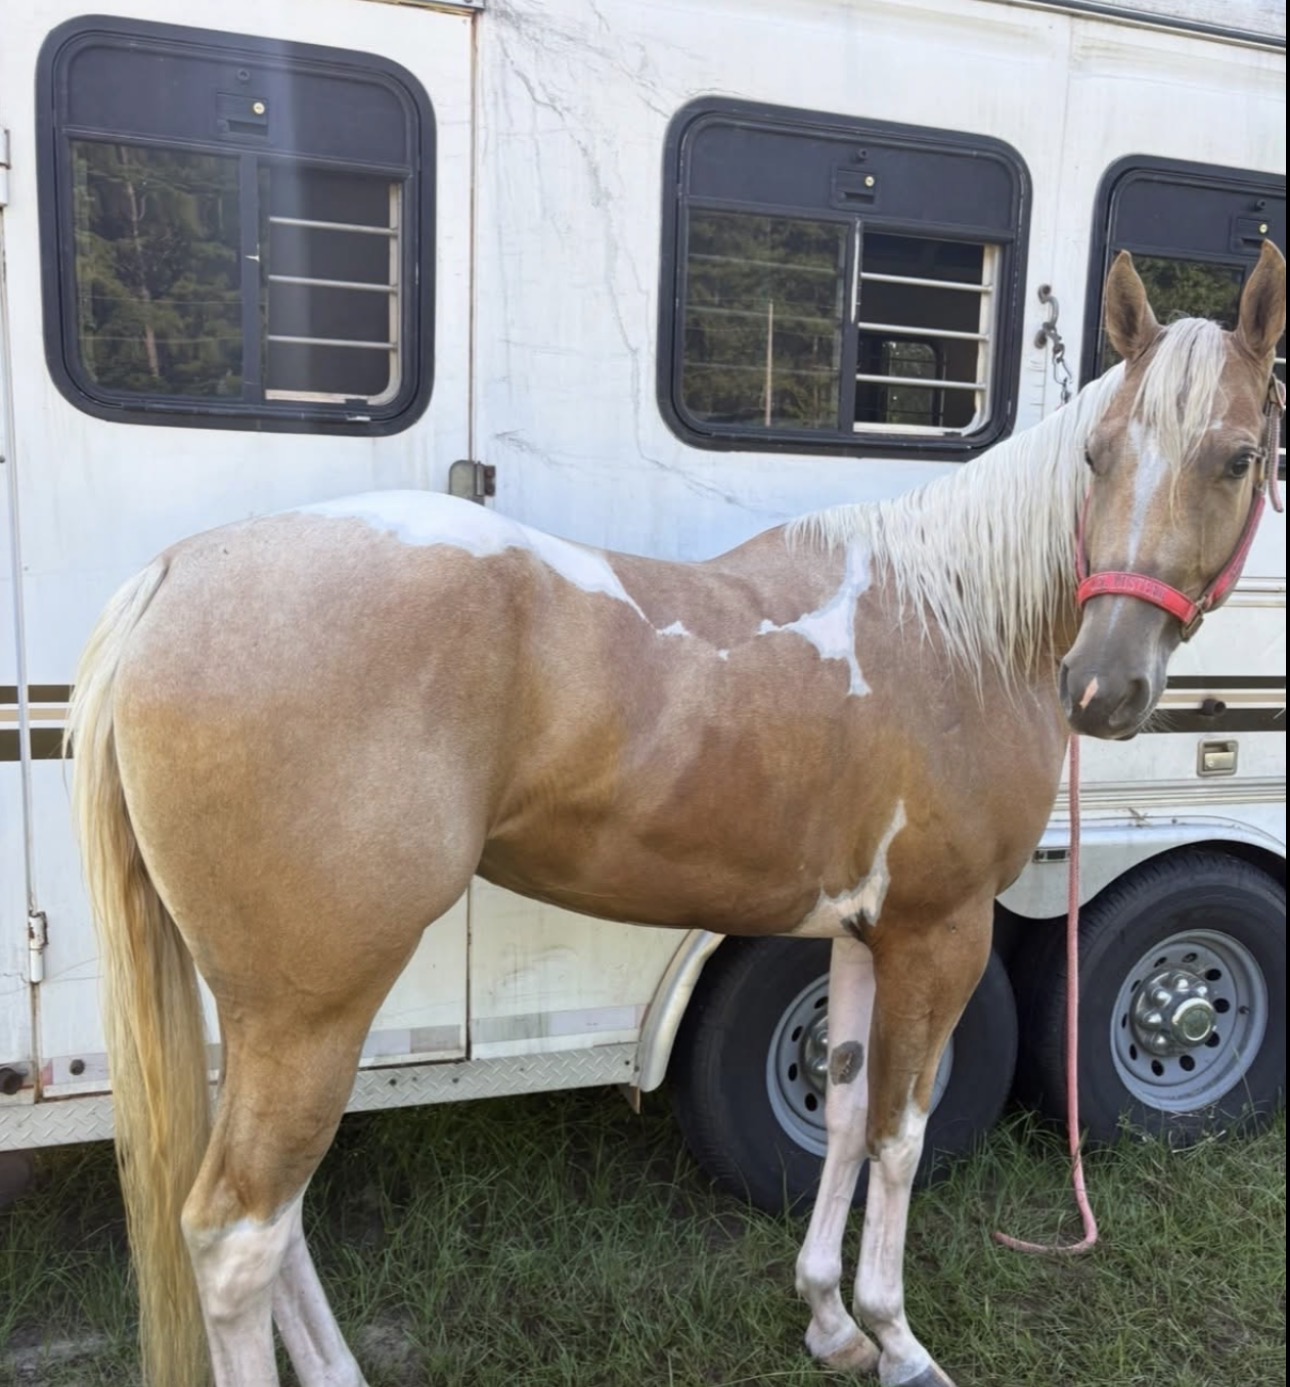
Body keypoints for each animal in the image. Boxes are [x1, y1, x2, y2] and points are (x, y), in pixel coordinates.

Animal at [66, 240, 1285, 1387]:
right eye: (1098, 455)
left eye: (1235, 456)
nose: (1105, 686)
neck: (956, 626)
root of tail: (175, 577)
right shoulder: (941, 931)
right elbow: (899, 1134)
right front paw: (896, 1338)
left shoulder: (862, 931)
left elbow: (845, 1114)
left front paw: (830, 1322)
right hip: (311, 1008)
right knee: (236, 1234)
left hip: (274, 1012)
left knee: (281, 1220)